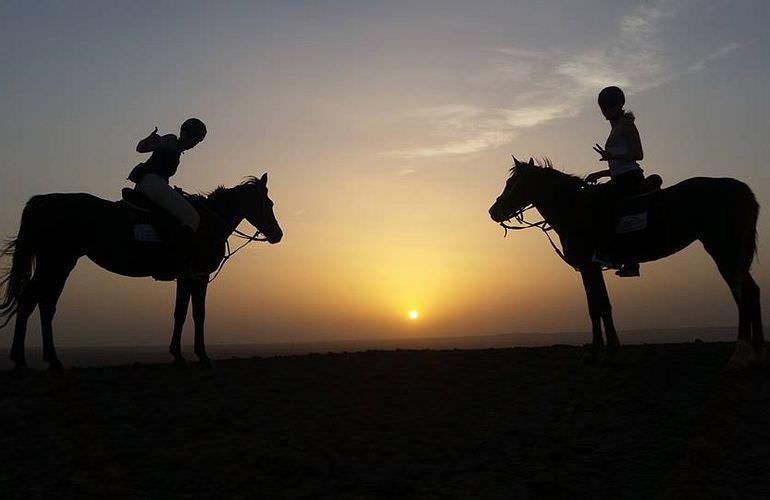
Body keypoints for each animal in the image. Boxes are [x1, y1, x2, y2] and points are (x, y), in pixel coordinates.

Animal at [0, 174, 282, 370]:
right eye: (268, 203)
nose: (277, 235)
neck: (207, 223)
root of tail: (43, 201)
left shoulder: (186, 277)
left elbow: (180, 313)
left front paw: (178, 355)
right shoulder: (198, 276)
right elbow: (198, 314)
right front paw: (201, 355)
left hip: (59, 263)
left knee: (40, 304)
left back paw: (39, 359)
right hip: (56, 261)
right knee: (34, 301)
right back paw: (29, 360)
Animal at [488, 157, 760, 372]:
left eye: (513, 184)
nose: (493, 211)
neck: (573, 210)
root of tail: (740, 189)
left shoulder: (589, 265)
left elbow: (597, 306)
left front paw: (600, 353)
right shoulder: (592, 267)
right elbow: (600, 305)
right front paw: (605, 350)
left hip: (723, 248)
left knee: (743, 292)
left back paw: (739, 357)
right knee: (749, 291)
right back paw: (754, 354)